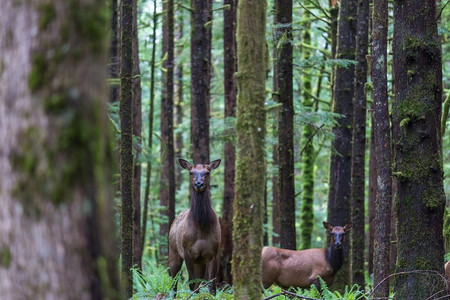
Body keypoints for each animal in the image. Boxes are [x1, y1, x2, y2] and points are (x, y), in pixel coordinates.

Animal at [169, 158, 221, 294]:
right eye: (191, 172)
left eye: (207, 172)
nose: (198, 184)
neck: (202, 227)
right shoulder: (187, 251)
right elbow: (191, 283)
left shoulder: (214, 253)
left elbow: (211, 285)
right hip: (173, 251)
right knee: (173, 281)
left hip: (200, 261)